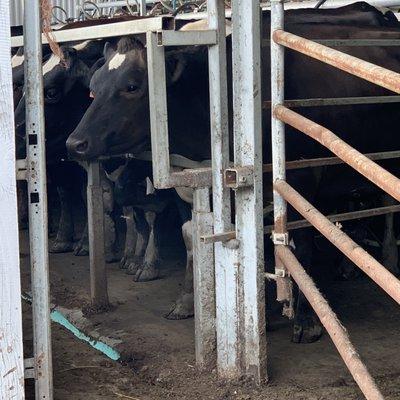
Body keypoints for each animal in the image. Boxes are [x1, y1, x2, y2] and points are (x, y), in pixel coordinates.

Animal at [66, 9, 400, 340]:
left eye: (133, 86)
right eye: (93, 88)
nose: (75, 143)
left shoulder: (302, 178)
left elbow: (301, 244)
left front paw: (306, 318)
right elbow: (194, 237)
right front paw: (193, 302)